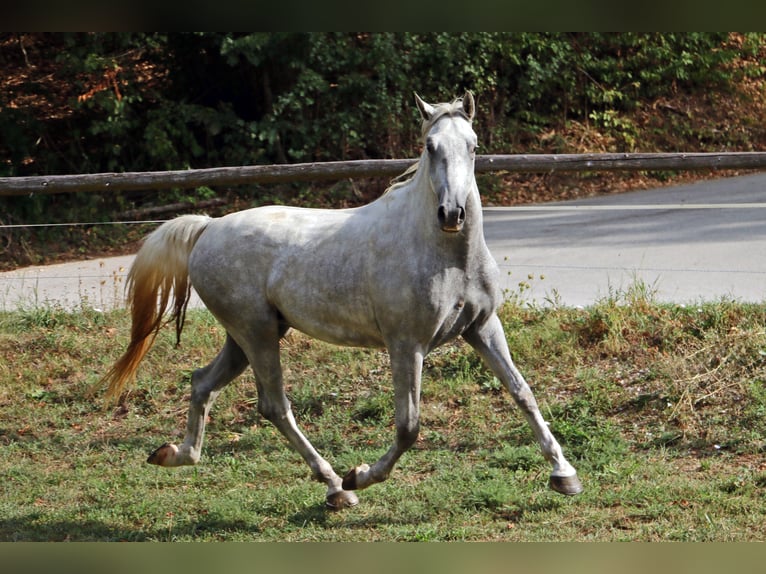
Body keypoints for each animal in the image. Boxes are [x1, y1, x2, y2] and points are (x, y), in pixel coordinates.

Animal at [102, 92, 584, 510]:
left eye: (473, 145)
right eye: (430, 146)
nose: (452, 214)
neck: (445, 255)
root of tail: (207, 227)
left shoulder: (482, 328)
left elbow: (522, 392)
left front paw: (565, 475)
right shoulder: (406, 345)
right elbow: (408, 427)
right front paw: (361, 475)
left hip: (247, 336)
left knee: (203, 383)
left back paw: (174, 454)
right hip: (257, 334)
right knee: (274, 406)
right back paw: (336, 486)